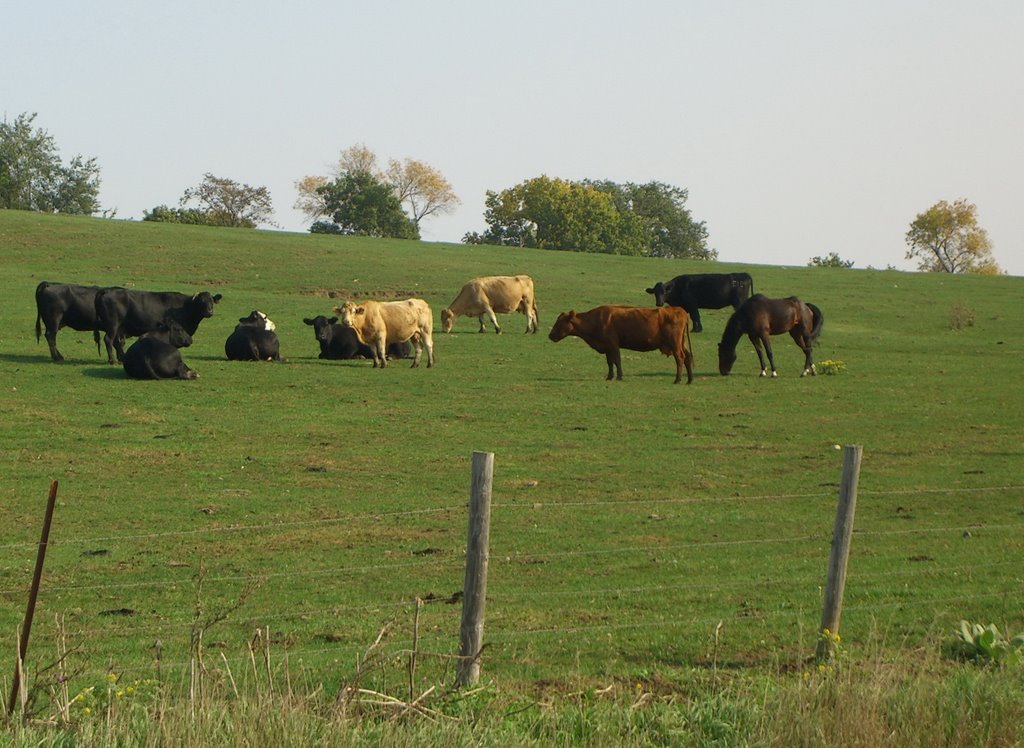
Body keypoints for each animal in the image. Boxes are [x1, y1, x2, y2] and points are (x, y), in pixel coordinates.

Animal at [95, 286, 223, 362]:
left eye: (211, 301)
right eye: (201, 301)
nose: (209, 312)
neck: (185, 306)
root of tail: (108, 290)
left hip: (120, 327)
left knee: (117, 342)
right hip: (113, 325)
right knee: (109, 340)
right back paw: (112, 360)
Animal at [548, 305, 692, 381]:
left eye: (560, 322)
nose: (550, 335)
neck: (596, 320)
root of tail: (679, 310)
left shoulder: (613, 345)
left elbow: (616, 360)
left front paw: (619, 376)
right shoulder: (607, 347)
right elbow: (610, 362)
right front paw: (609, 377)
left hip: (675, 344)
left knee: (680, 358)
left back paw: (677, 379)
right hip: (681, 344)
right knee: (687, 357)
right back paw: (689, 380)